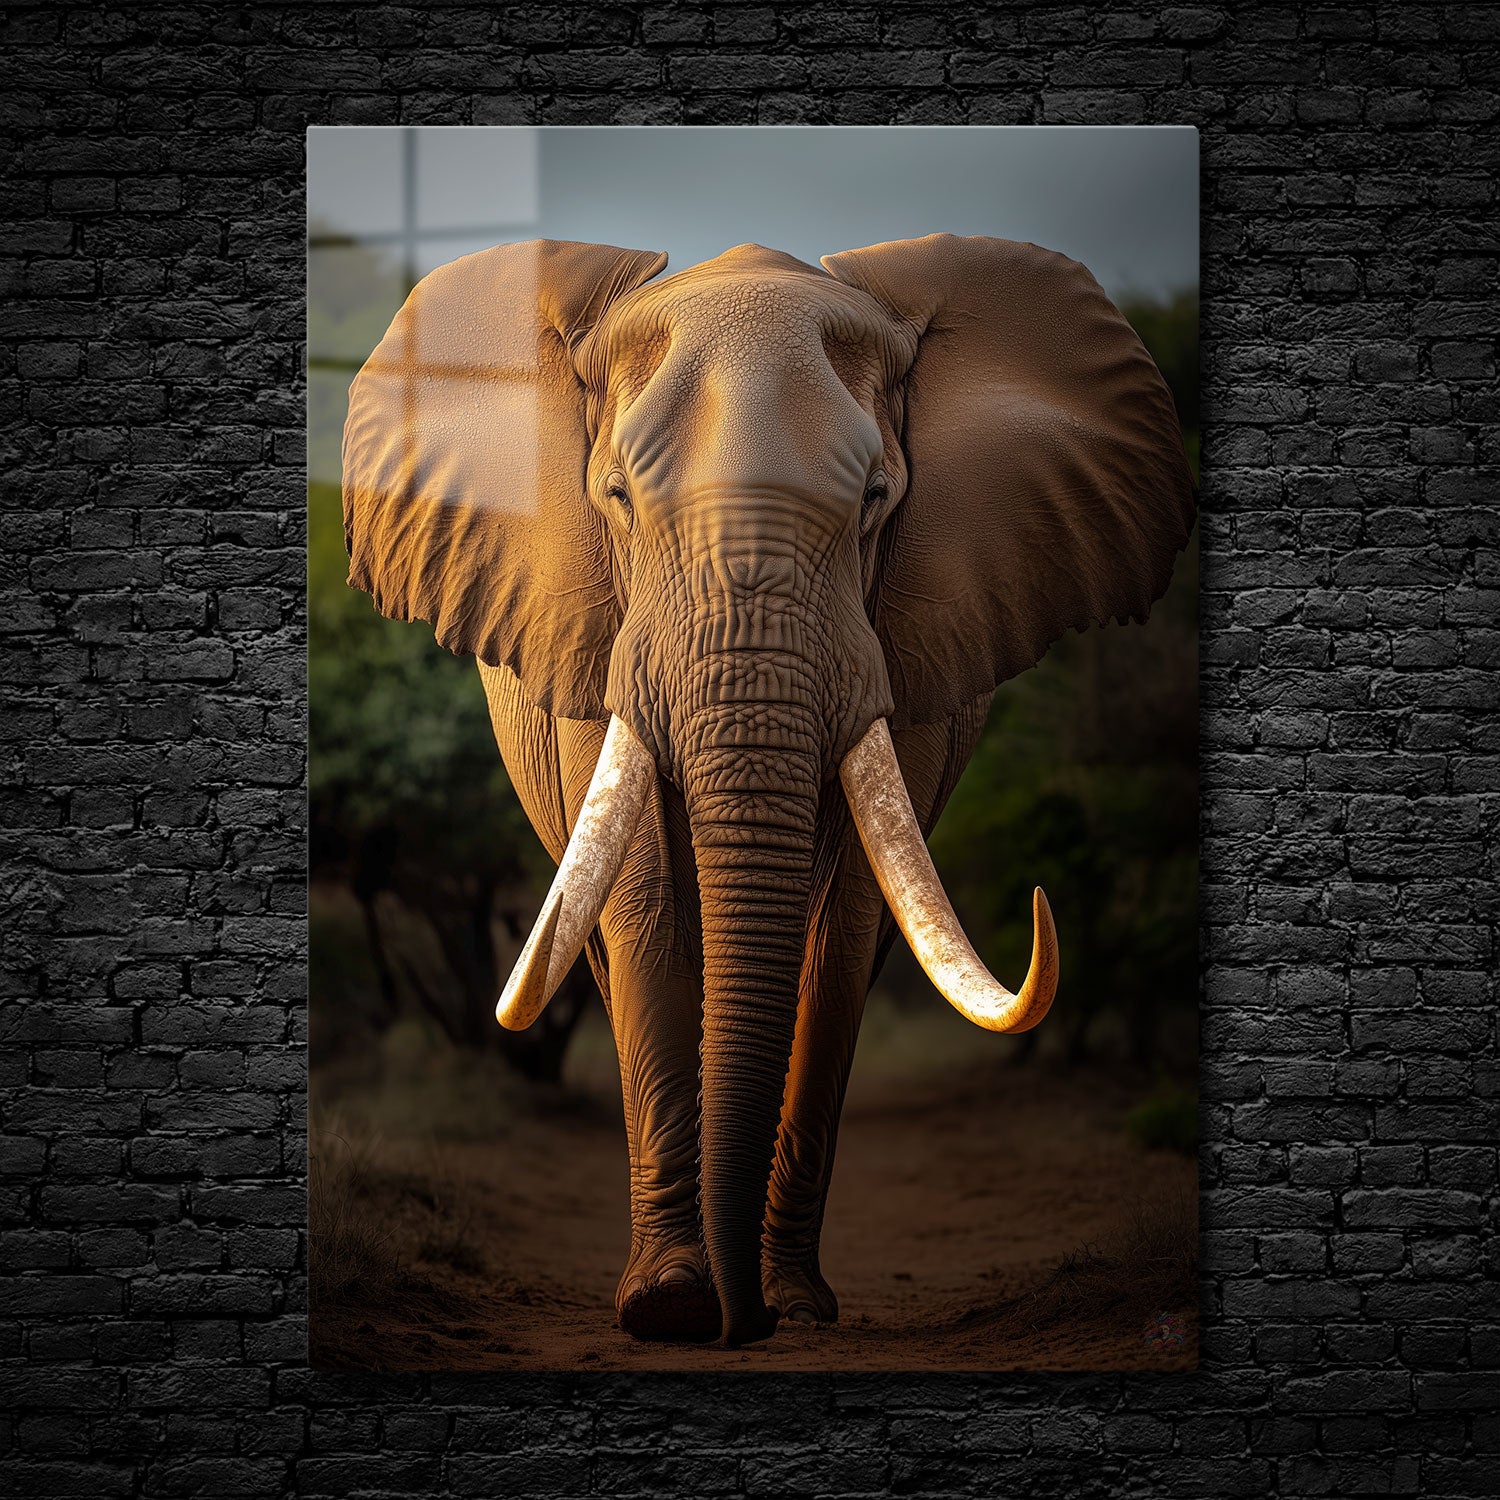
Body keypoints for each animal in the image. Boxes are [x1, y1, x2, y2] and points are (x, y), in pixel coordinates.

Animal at [341, 234, 1196, 1347]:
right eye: (615, 497)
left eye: (877, 499)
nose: (736, 1326)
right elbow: (645, 905)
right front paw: (670, 1306)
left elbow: (843, 926)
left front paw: (788, 1304)